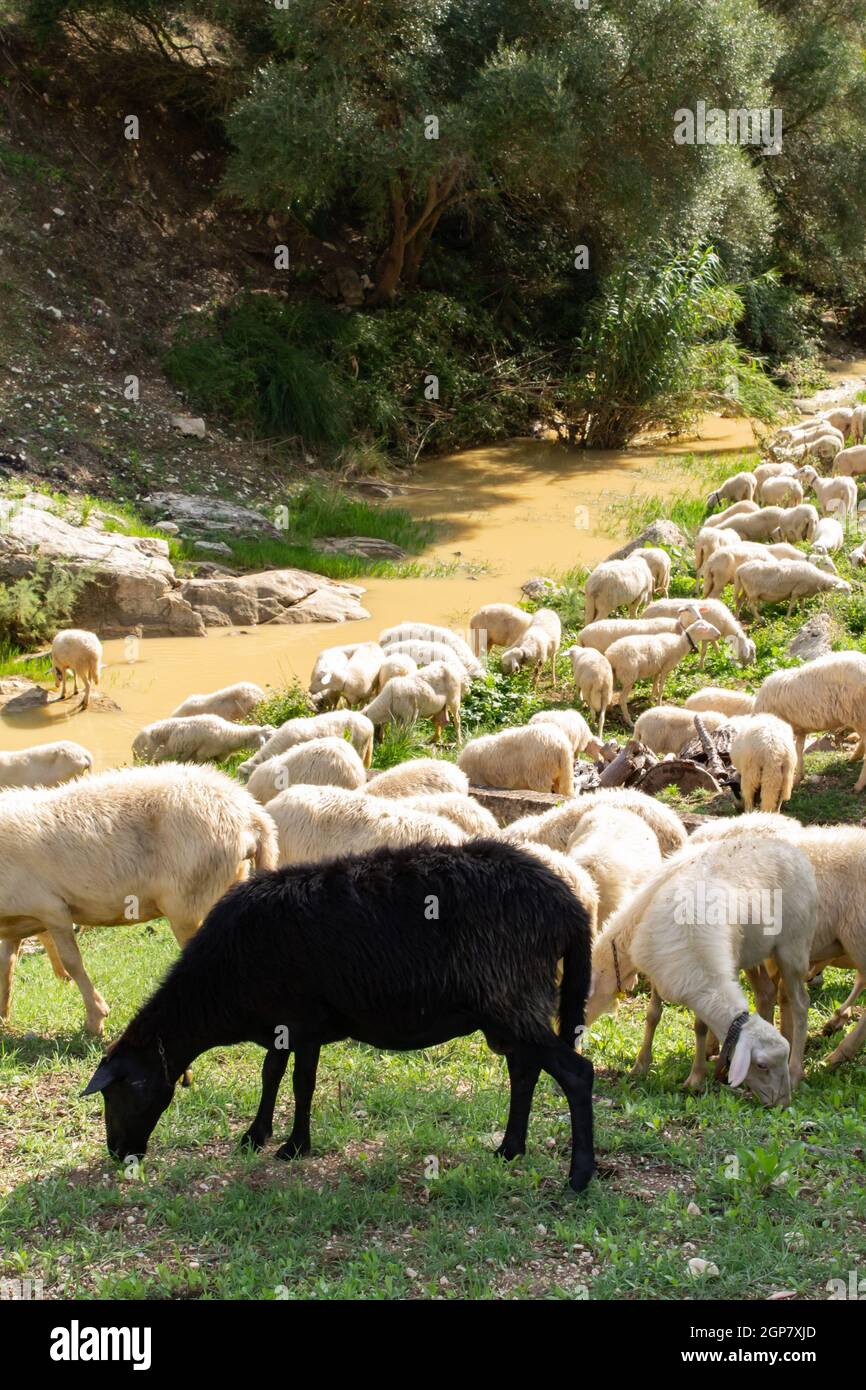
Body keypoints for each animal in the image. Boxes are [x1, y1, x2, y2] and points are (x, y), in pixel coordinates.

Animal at [0, 764, 276, 1035]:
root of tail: (250, 812)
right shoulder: (15, 923)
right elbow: (7, 966)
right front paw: (3, 1017)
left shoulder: (52, 909)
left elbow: (72, 962)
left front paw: (96, 1019)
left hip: (190, 899)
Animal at [83, 839, 597, 1192]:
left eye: (123, 1091)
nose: (118, 1153)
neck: (218, 986)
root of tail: (569, 907)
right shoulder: (284, 1025)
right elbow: (271, 1074)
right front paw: (257, 1135)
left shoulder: (306, 1022)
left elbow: (300, 1083)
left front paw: (293, 1146)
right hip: (511, 1005)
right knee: (525, 1070)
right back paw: (510, 1150)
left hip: (512, 996)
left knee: (576, 1073)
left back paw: (579, 1176)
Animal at [586, 836, 817, 1098]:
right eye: (762, 1065)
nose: (783, 1101)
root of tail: (793, 850)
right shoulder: (660, 970)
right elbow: (653, 1015)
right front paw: (641, 1065)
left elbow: (699, 1027)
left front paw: (696, 1077)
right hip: (755, 950)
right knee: (767, 993)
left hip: (792, 948)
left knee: (800, 1004)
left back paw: (796, 1072)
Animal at [754, 651, 866, 789]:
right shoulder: (799, 729)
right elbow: (798, 749)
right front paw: (799, 776)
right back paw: (854, 758)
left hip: (858, 714)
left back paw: (859, 785)